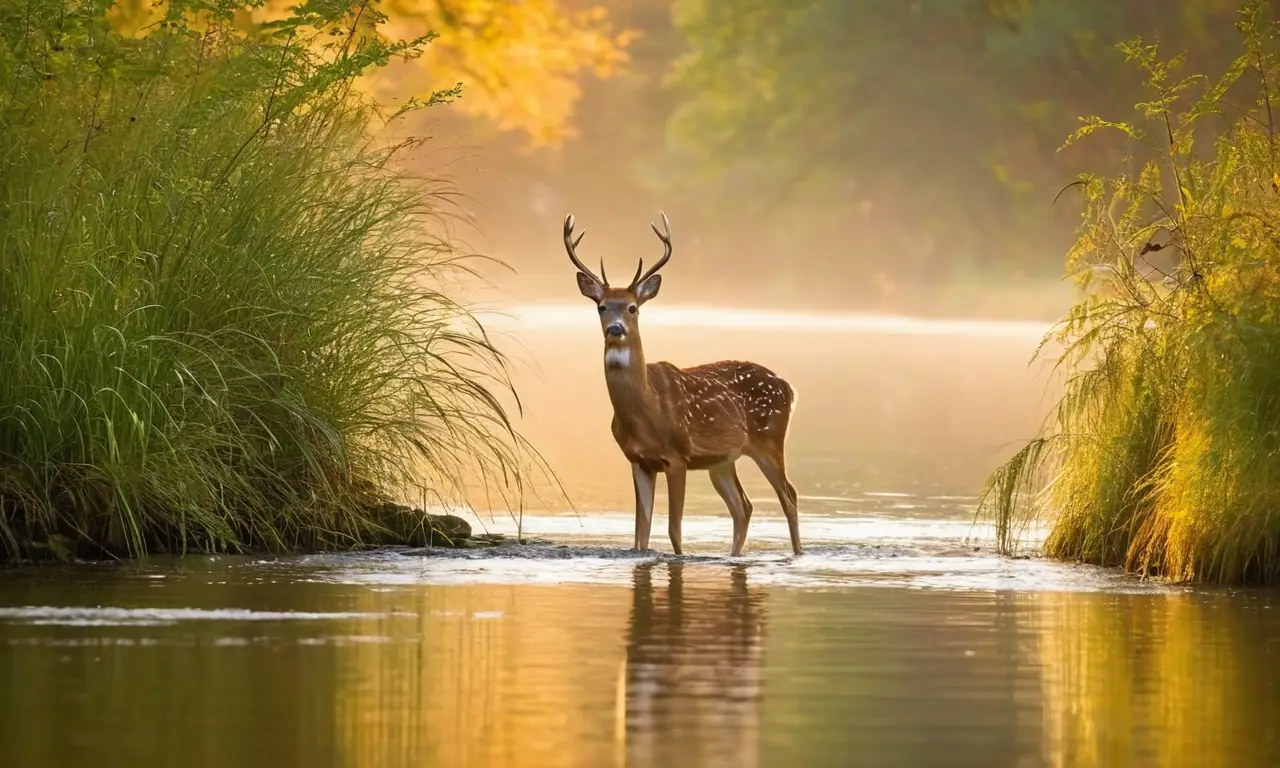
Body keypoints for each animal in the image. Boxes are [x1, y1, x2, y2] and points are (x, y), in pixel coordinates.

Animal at [562, 211, 802, 557]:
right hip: (723, 461)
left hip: (769, 439)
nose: (615, 329)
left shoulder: (678, 456)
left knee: (789, 495)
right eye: (601, 306)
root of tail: (790, 388)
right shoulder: (638, 460)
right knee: (743, 506)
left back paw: (798, 553)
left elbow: (674, 531)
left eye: (633, 307)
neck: (645, 412)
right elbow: (641, 535)